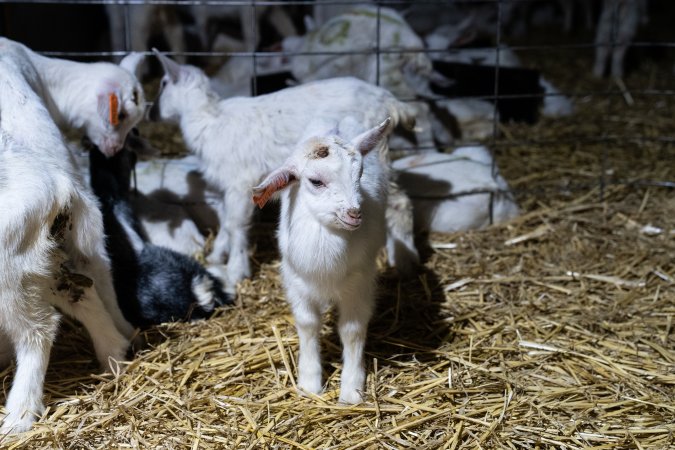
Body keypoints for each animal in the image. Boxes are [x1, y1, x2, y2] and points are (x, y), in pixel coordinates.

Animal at [0, 44, 137, 434]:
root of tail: (56, 183)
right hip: (42, 261)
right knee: (86, 290)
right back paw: (114, 354)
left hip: (10, 271)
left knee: (39, 331)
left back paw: (18, 417)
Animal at [151, 51, 420, 292]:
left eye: (163, 84)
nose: (152, 112)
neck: (209, 119)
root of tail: (389, 101)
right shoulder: (229, 185)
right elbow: (226, 221)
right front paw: (217, 255)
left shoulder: (240, 181)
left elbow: (236, 224)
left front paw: (236, 270)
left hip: (379, 153)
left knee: (400, 202)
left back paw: (406, 260)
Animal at [252, 118, 390, 402]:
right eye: (315, 181)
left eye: (360, 174)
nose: (354, 214)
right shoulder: (297, 281)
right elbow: (307, 324)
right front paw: (309, 383)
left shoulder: (359, 283)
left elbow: (352, 329)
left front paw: (351, 390)